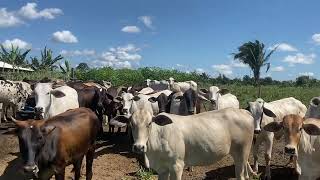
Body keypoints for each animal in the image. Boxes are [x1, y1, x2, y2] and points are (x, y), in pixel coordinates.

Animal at [111, 107, 254, 179]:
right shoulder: (162, 169)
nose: (139, 147)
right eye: (131, 124)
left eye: (149, 123)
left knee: (241, 176)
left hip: (242, 153)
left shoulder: (177, 166)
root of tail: (245, 111)